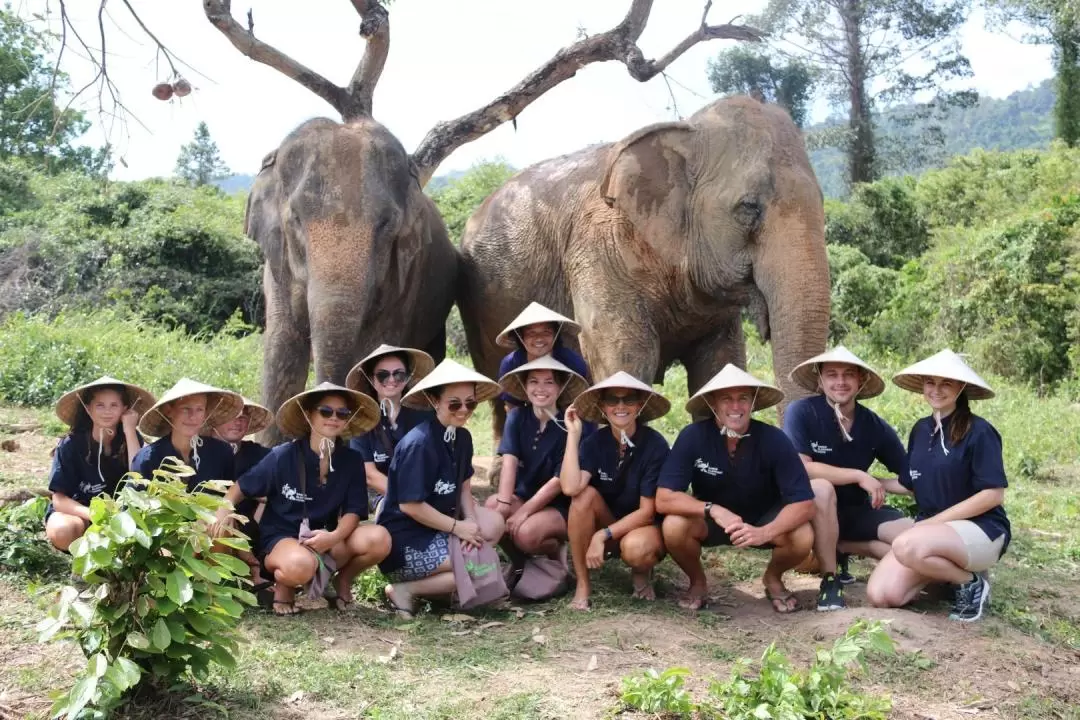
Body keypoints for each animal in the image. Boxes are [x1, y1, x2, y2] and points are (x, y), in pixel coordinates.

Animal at [246, 117, 455, 444]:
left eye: (387, 224)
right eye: (295, 219)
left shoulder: (405, 279)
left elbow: (374, 350)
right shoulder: (278, 268)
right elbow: (282, 350)